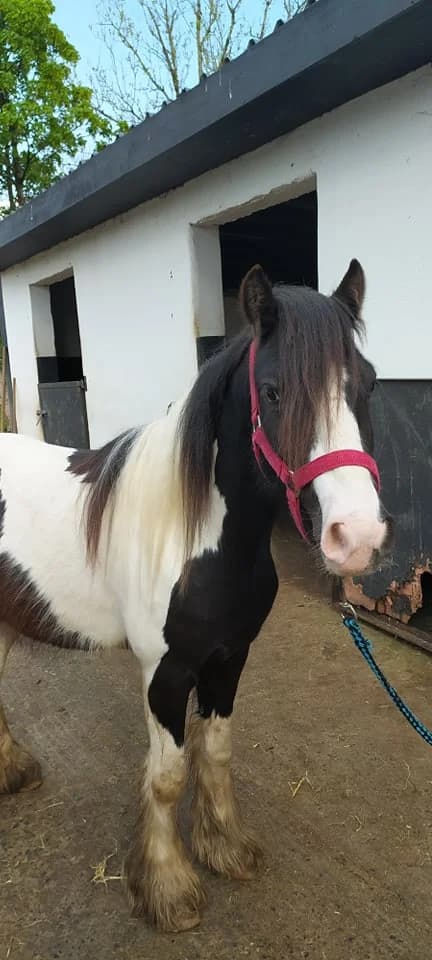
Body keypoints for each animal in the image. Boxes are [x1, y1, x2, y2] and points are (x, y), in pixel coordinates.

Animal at [0, 260, 392, 932]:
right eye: (273, 392)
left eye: (365, 384)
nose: (357, 537)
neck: (201, 541)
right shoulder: (165, 671)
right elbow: (167, 776)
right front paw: (168, 889)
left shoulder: (229, 659)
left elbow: (216, 753)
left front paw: (226, 848)